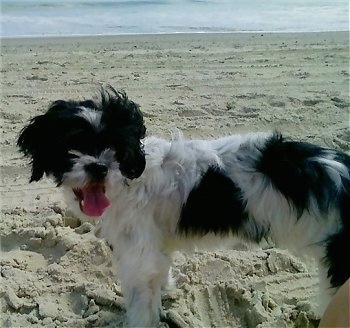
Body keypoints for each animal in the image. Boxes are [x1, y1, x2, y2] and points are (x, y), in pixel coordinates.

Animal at [18, 86, 350, 326]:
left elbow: (141, 304)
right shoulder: (156, 246)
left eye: (115, 146)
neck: (131, 178)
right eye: (71, 146)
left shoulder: (138, 256)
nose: (98, 166)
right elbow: (159, 274)